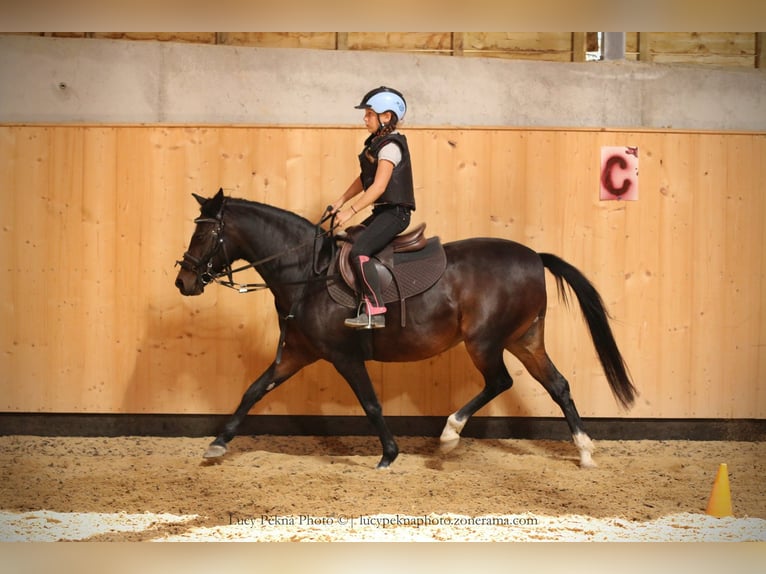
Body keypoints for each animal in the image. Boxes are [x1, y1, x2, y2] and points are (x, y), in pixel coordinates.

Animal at [177, 191, 640, 470]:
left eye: (206, 233)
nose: (184, 281)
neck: (307, 273)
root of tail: (533, 257)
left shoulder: (344, 356)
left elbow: (371, 404)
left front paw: (389, 454)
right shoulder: (295, 353)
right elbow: (253, 391)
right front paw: (218, 443)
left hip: (485, 341)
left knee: (500, 381)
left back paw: (450, 433)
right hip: (524, 340)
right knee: (557, 385)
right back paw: (584, 451)